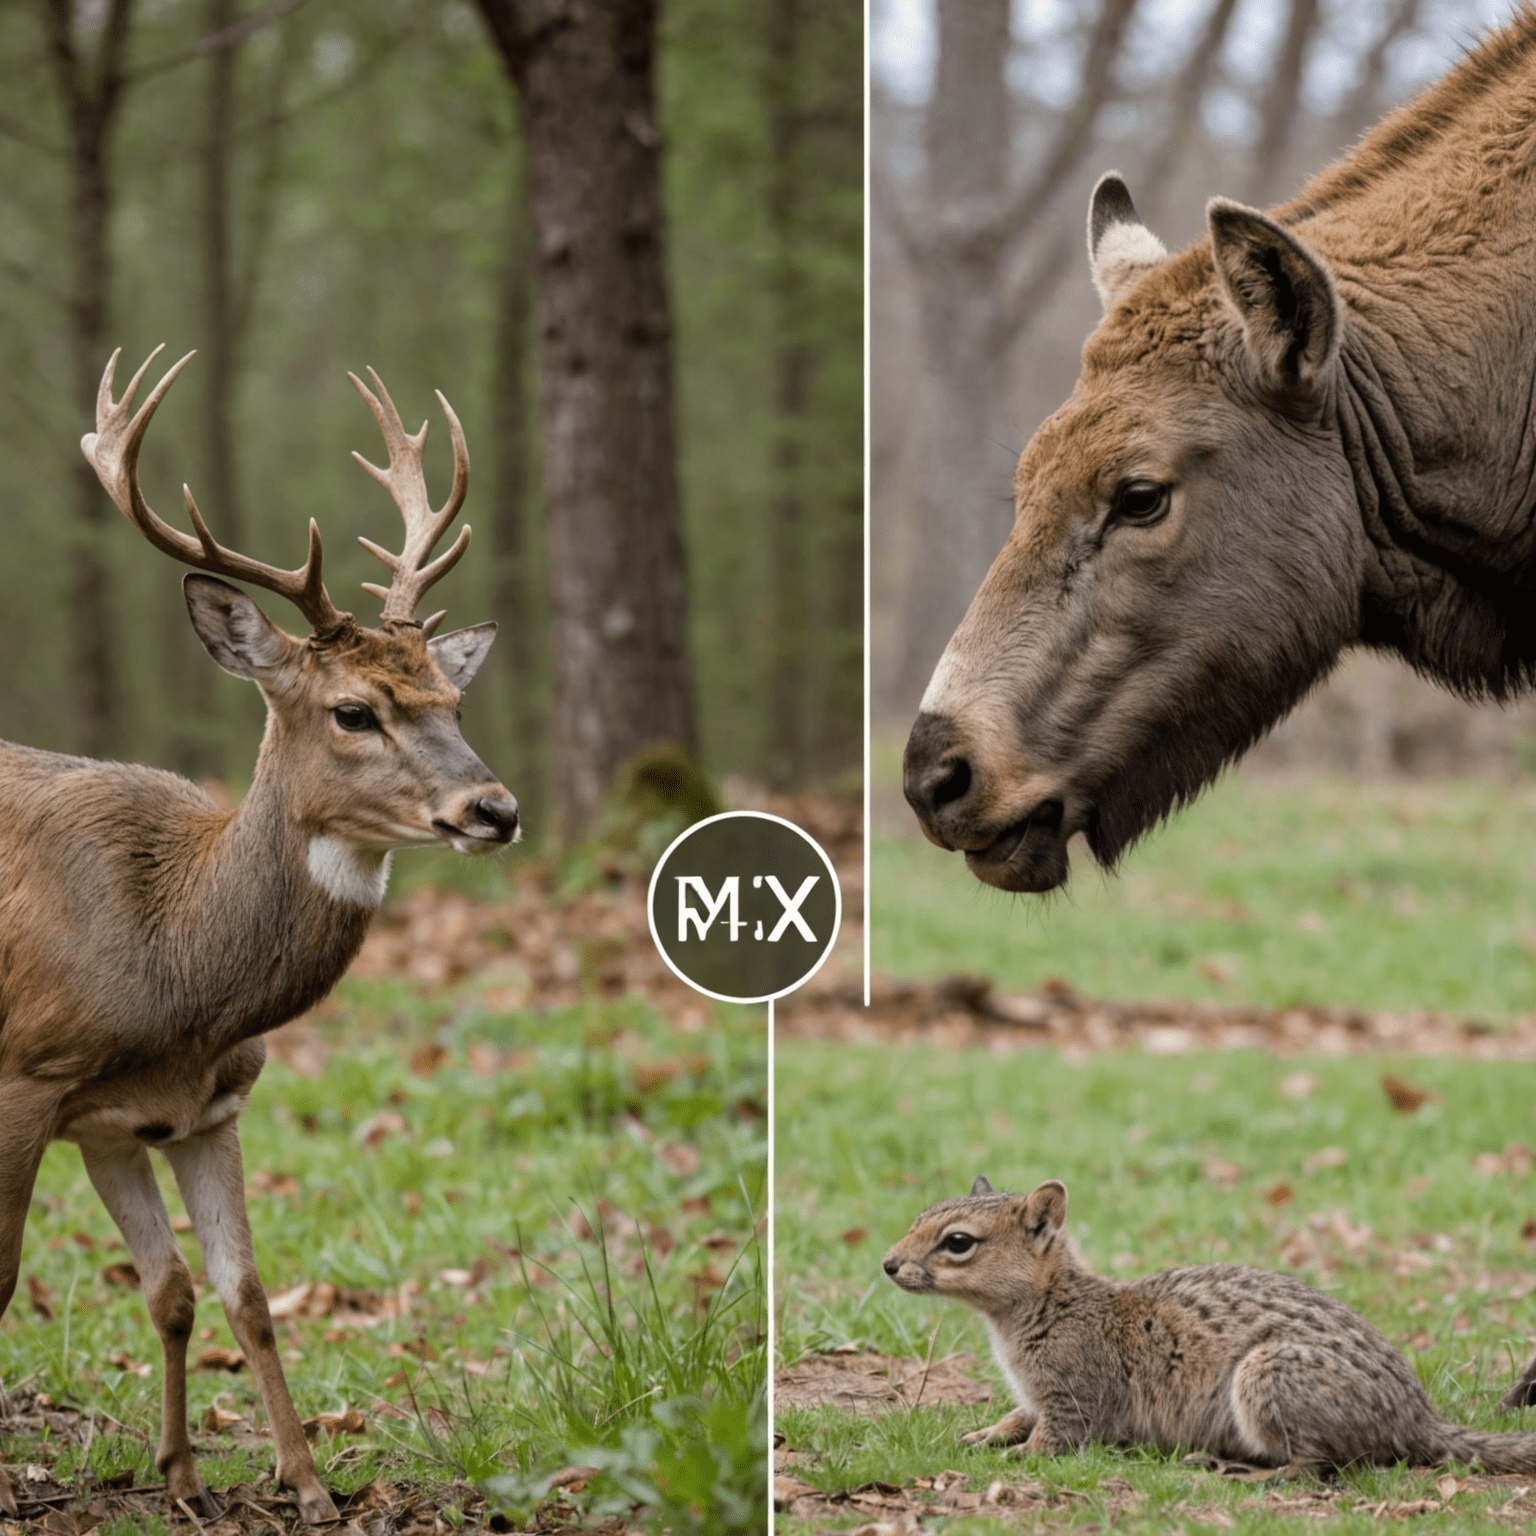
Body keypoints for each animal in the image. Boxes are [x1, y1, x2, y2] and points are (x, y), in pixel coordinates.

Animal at [0, 342, 519, 1517]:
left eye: (453, 705)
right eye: (354, 711)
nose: (495, 810)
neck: (170, 965)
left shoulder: (178, 1112)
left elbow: (216, 1293)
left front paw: (257, 1481)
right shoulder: (25, 1079)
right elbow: (5, 1282)